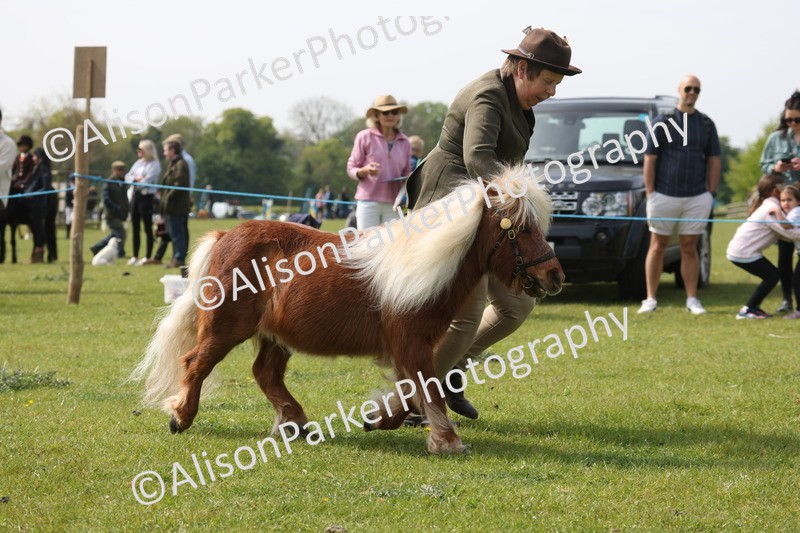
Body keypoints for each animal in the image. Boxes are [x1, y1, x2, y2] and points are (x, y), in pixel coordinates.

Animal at [131, 164, 564, 454]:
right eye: (522, 228)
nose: (555, 275)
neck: (422, 264)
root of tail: (225, 235)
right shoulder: (409, 341)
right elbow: (426, 387)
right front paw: (447, 440)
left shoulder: (414, 346)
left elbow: (414, 391)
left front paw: (379, 418)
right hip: (226, 327)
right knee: (196, 363)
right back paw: (181, 417)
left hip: (275, 336)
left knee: (265, 374)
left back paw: (296, 423)